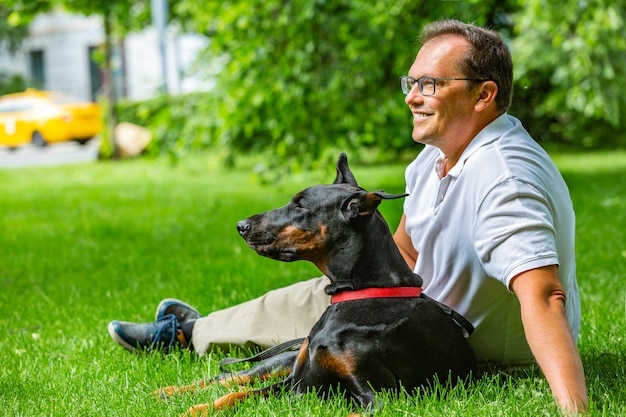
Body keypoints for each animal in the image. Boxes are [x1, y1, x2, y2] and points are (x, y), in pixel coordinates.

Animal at [158, 154, 476, 416]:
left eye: (300, 205)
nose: (241, 226)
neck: (359, 295)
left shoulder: (380, 398)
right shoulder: (296, 380)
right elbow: (236, 395)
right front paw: (197, 409)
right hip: (280, 363)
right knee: (229, 378)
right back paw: (168, 391)